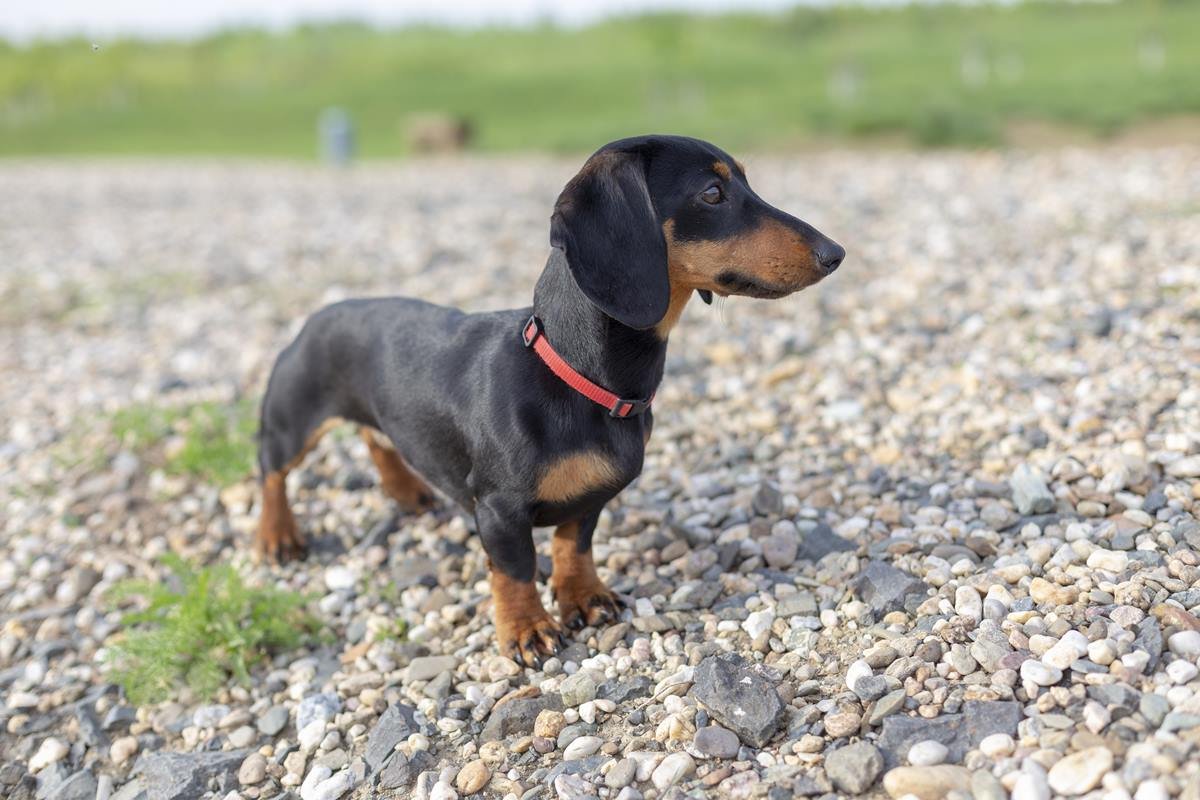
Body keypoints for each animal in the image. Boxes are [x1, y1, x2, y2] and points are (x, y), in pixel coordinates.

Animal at [253, 134, 844, 666]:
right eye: (712, 192)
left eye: (745, 180)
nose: (836, 253)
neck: (577, 376)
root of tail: (318, 314)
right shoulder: (497, 510)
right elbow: (515, 570)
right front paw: (527, 629)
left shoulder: (594, 495)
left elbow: (572, 544)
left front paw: (582, 596)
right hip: (291, 423)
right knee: (271, 472)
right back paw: (278, 535)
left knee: (375, 438)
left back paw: (407, 491)